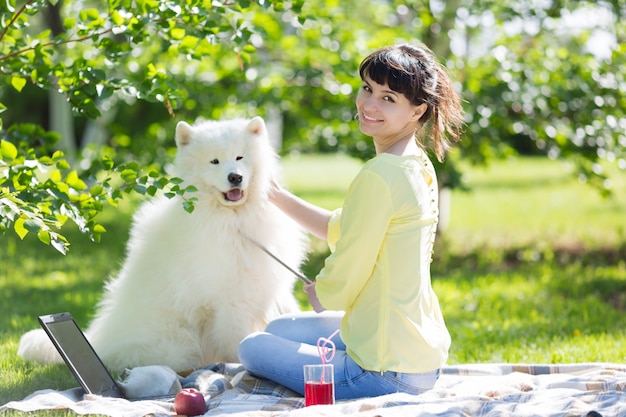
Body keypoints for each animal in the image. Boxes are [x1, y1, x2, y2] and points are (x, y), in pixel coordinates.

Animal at [20, 115, 308, 372]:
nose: (234, 177)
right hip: (178, 344)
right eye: (214, 161)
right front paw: (238, 363)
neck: (233, 219)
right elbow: (237, 340)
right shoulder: (230, 300)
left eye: (240, 157)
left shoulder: (269, 286)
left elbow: (284, 310)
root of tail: (99, 344)